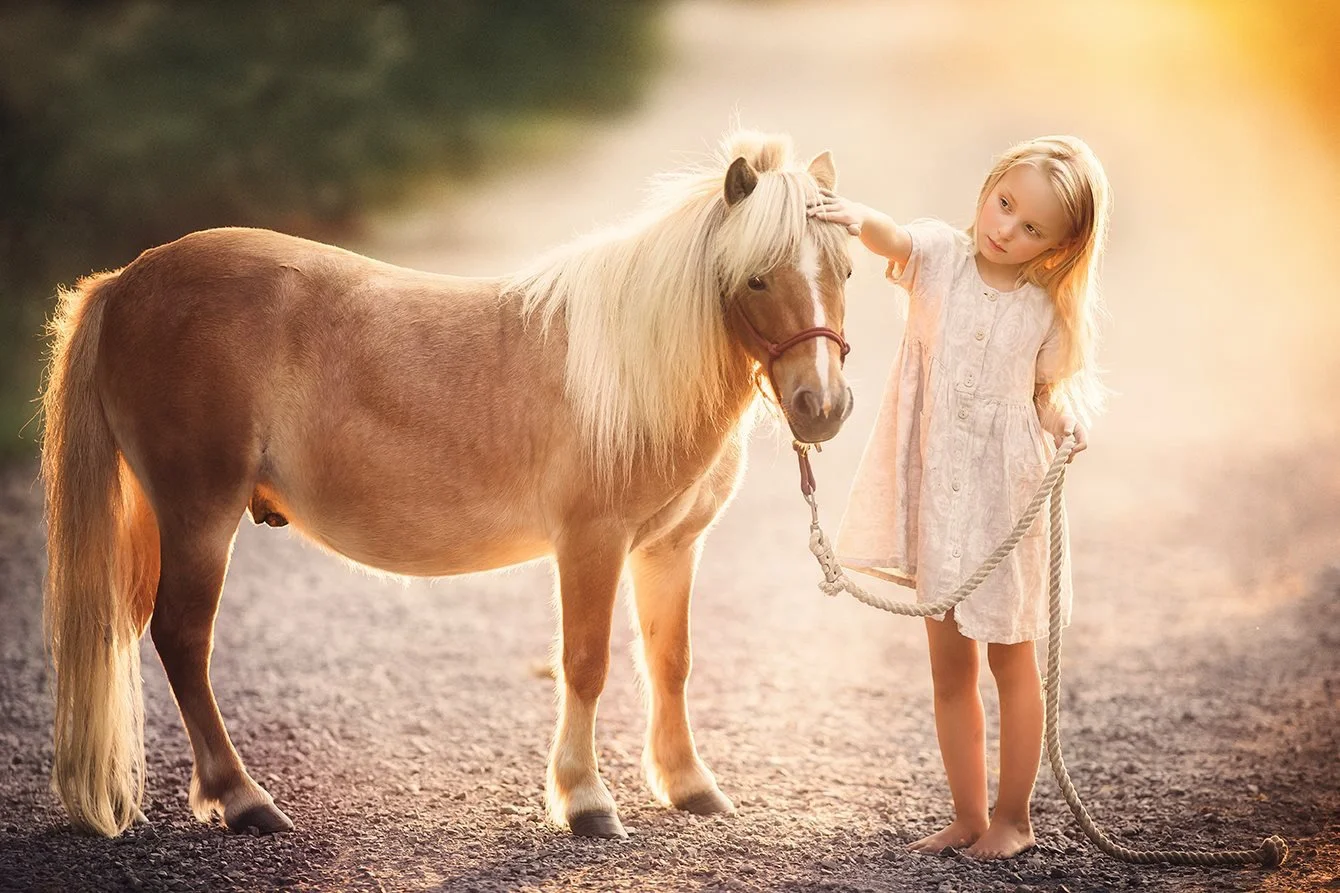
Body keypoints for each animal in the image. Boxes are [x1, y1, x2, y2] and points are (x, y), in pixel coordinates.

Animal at [40, 130, 855, 840]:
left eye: (844, 272)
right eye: (756, 276)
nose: (822, 407)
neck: (632, 368)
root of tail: (126, 283)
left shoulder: (671, 548)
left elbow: (670, 661)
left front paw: (689, 787)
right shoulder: (591, 542)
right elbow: (585, 664)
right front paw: (587, 802)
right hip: (200, 514)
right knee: (183, 637)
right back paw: (243, 799)